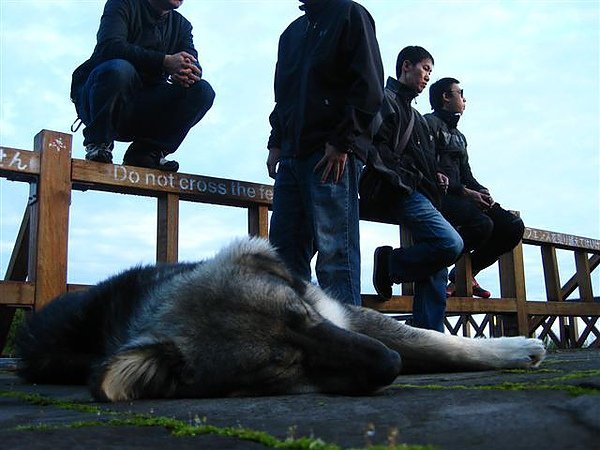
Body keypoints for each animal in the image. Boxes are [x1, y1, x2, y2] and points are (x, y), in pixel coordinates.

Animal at [16, 236, 548, 400]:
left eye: (305, 317)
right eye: (280, 367)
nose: (392, 365)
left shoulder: (345, 316)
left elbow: (436, 339)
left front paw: (512, 347)